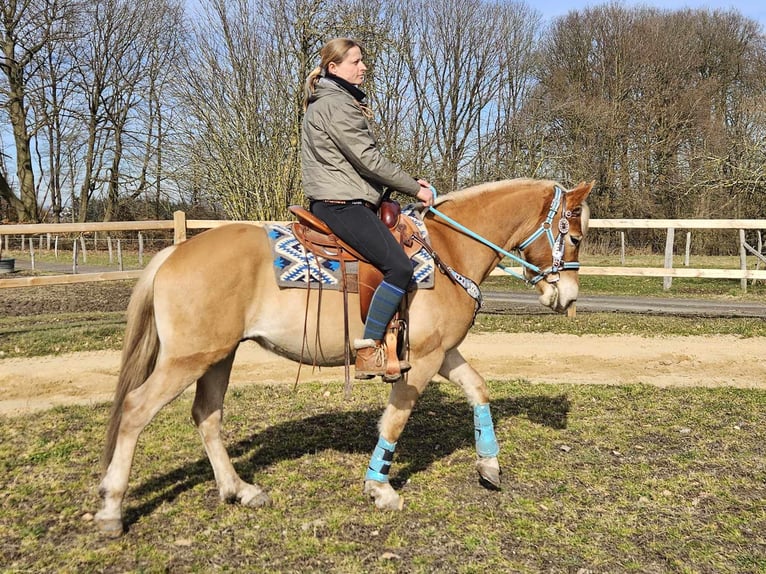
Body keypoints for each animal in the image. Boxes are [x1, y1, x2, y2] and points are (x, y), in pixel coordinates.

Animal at [96, 179, 596, 536]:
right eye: (573, 235)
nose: (568, 297)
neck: (449, 249)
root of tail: (175, 252)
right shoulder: (422, 361)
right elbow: (395, 420)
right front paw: (380, 488)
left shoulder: (442, 352)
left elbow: (478, 389)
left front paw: (489, 466)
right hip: (189, 359)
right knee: (136, 410)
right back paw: (112, 510)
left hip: (218, 356)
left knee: (207, 416)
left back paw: (239, 490)